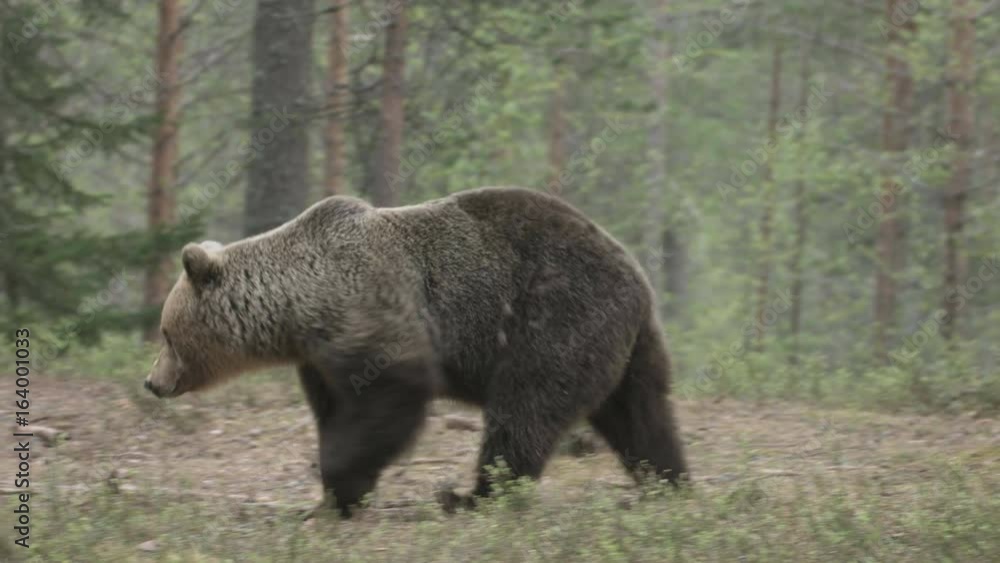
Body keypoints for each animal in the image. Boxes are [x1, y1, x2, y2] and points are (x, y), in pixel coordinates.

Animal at [144, 186, 688, 517]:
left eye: (166, 333)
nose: (152, 382)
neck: (301, 308)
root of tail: (636, 277)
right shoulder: (320, 358)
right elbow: (335, 412)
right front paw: (329, 497)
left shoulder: (372, 312)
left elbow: (390, 402)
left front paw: (339, 489)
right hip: (625, 345)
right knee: (641, 414)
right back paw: (668, 481)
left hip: (554, 317)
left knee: (524, 411)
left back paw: (472, 495)